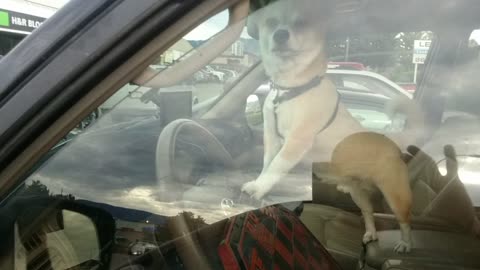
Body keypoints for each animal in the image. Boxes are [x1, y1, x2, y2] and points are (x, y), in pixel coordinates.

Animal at [240, 0, 424, 253]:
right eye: (271, 22)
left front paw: (259, 188)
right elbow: (268, 163)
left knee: (405, 221)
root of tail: (391, 141)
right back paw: (370, 233)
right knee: (368, 213)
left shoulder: (297, 141)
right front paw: (259, 182)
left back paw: (405, 243)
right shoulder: (271, 136)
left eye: (301, 23)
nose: (280, 35)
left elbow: (276, 165)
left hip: (395, 194)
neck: (292, 88)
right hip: (357, 193)